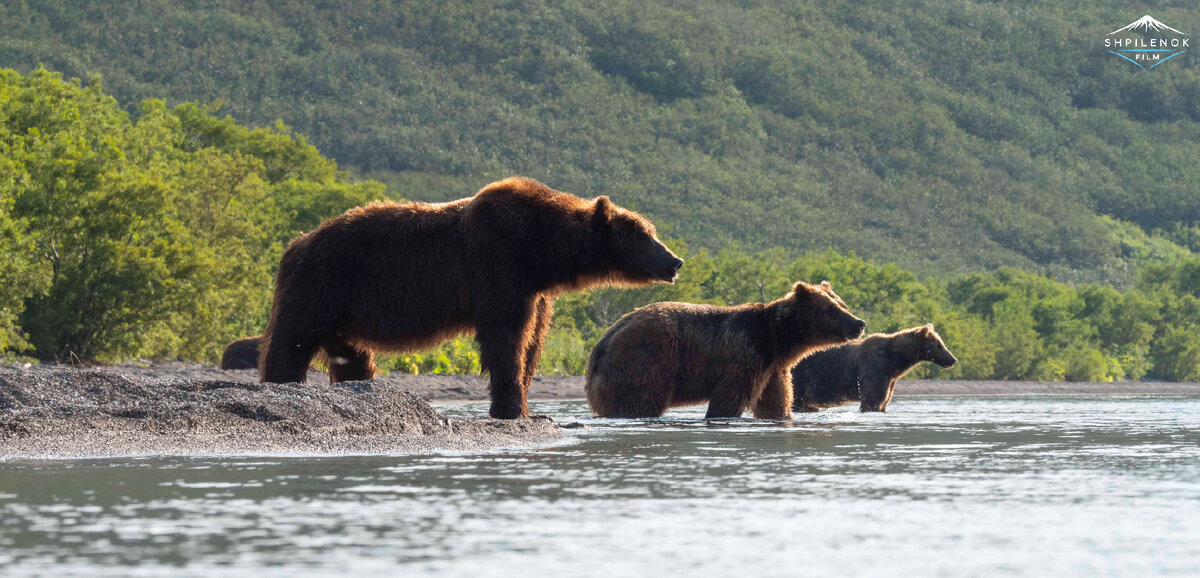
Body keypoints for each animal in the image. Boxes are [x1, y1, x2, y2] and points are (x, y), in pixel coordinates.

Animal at [258, 177, 681, 419]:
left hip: (344, 307)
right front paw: (511, 408)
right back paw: (280, 381)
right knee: (292, 338)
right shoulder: (498, 266)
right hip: (321, 283)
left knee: (350, 352)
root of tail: (296, 242)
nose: (675, 260)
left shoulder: (536, 291)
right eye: (643, 234)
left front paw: (526, 403)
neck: (543, 251)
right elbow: (505, 337)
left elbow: (532, 340)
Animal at [580, 281, 864, 417]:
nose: (859, 323)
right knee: (640, 401)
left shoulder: (773, 369)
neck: (777, 339)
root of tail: (601, 346)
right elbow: (730, 397)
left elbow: (775, 402)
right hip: (645, 360)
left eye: (843, 304)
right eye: (832, 309)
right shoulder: (746, 355)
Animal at [792, 323, 960, 412]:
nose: (953, 359)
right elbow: (873, 400)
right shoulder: (874, 371)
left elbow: (884, 401)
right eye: (939, 345)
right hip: (802, 377)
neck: (894, 362)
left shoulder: (890, 380)